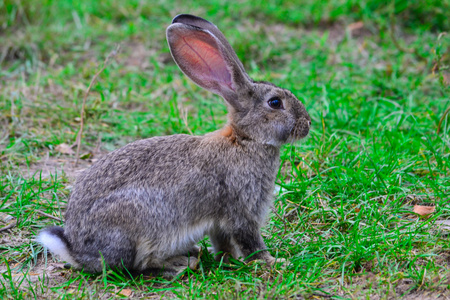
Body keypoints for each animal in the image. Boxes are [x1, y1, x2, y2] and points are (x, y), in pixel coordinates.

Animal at [37, 14, 312, 276]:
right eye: (275, 103)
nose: (308, 123)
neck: (245, 140)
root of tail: (78, 253)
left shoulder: (220, 222)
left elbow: (223, 242)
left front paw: (230, 260)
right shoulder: (242, 209)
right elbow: (251, 242)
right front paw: (274, 262)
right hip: (141, 226)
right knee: (136, 266)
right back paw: (180, 264)